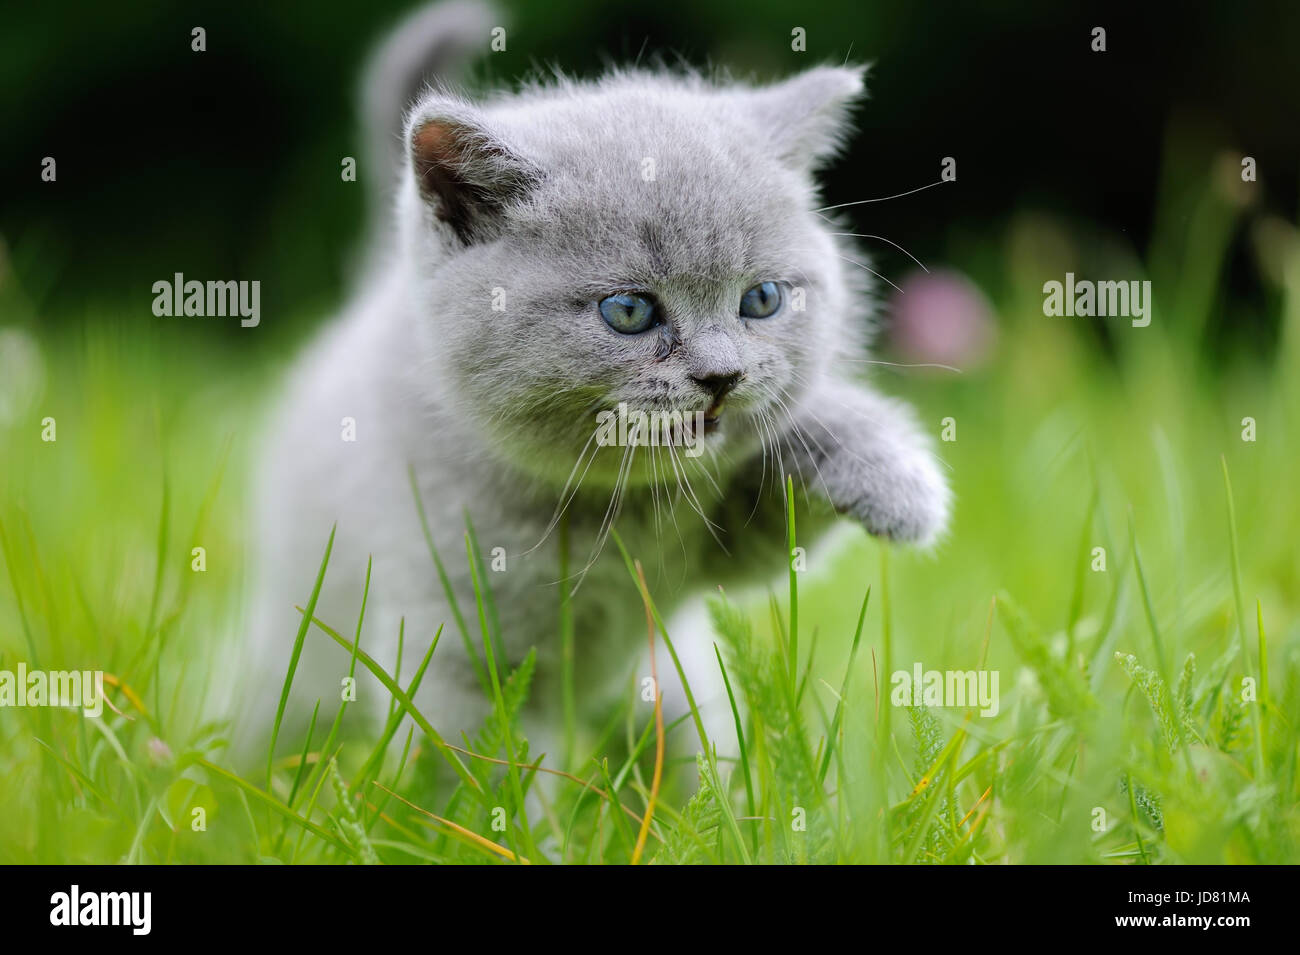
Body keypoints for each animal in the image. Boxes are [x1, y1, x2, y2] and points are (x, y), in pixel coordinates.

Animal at [239, 0, 951, 764]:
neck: (618, 512)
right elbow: (475, 765)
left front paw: (895, 478)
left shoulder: (723, 544)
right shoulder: (459, 642)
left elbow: (780, 507)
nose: (722, 376)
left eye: (762, 299)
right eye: (629, 311)